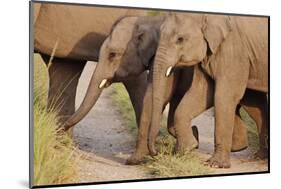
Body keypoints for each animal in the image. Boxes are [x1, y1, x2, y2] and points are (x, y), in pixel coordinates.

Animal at [149, 13, 266, 168]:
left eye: (180, 39)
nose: (156, 153)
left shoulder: (233, 50)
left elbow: (223, 96)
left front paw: (215, 164)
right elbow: (202, 93)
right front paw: (188, 148)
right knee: (255, 104)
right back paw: (259, 156)